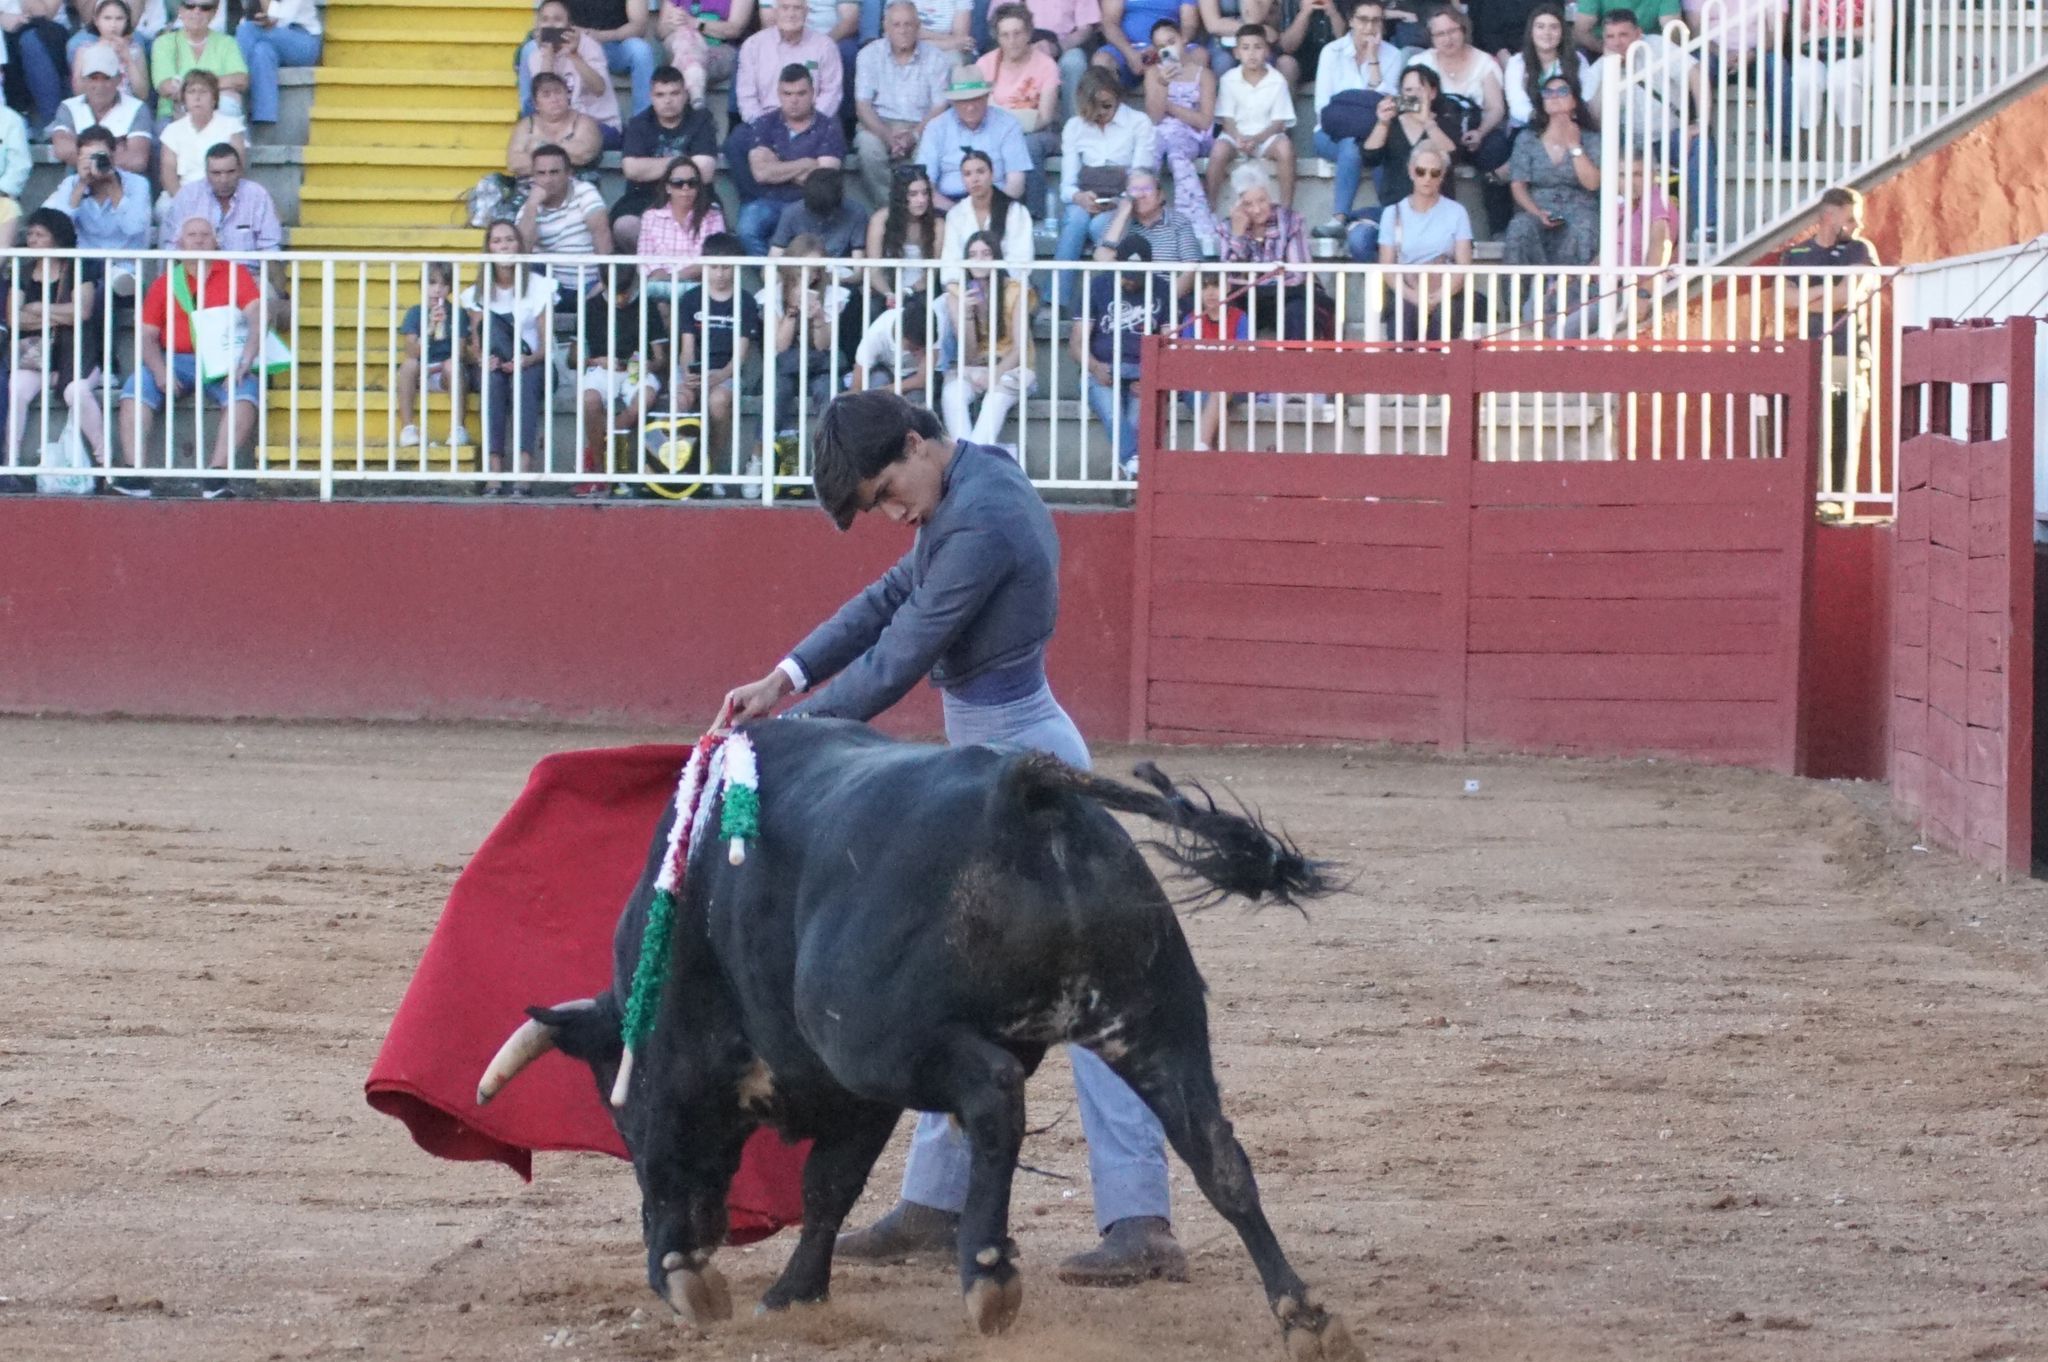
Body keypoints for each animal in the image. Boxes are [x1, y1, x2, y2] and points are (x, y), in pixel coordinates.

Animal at [468, 716, 1351, 1351]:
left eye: (614, 1113)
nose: (707, 1240)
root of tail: (1021, 788)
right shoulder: (853, 1097)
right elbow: (828, 1186)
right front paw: (793, 1291)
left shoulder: (744, 1074)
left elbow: (698, 1167)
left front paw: (690, 1279)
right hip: (1155, 1022)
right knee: (1216, 1153)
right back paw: (1303, 1315)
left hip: (895, 1043)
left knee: (996, 1094)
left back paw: (988, 1275)